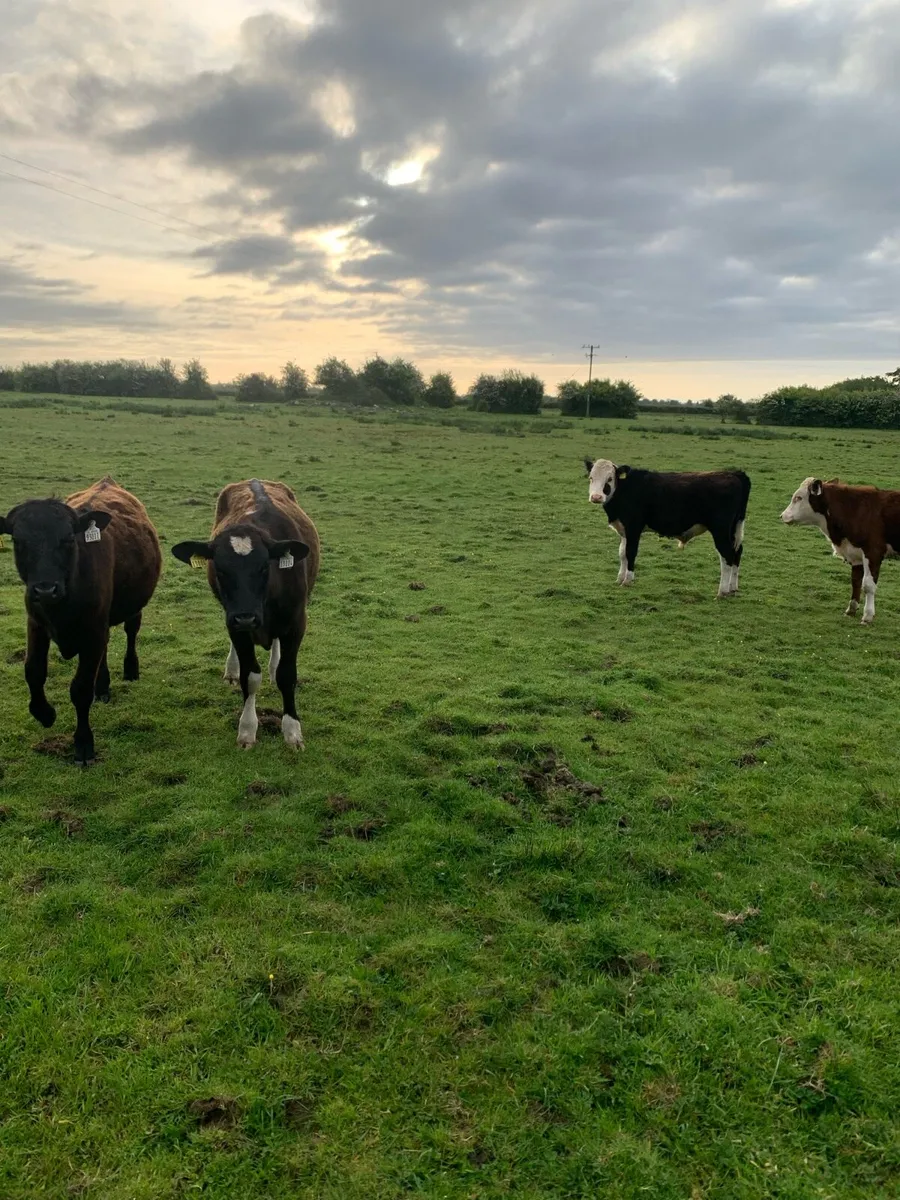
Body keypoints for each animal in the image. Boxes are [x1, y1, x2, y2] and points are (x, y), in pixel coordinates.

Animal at [0, 476, 161, 765]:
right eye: (18, 540)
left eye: (67, 539)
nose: (45, 589)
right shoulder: (36, 623)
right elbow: (33, 671)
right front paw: (44, 713)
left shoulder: (92, 631)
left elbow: (81, 689)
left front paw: (84, 744)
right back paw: (103, 685)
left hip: (131, 608)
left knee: (131, 631)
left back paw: (130, 669)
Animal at [170, 479, 319, 750]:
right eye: (220, 569)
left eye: (264, 567)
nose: (246, 617)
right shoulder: (235, 624)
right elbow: (249, 677)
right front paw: (248, 728)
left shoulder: (296, 623)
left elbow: (287, 675)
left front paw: (292, 731)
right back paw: (231, 670)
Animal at [584, 458, 751, 597]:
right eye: (591, 478)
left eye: (610, 479)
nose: (596, 497)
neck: (626, 489)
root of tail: (733, 474)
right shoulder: (624, 530)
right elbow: (622, 553)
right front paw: (620, 578)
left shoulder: (633, 528)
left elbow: (630, 552)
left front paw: (628, 580)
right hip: (734, 530)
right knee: (737, 552)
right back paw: (732, 588)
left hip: (720, 530)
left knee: (727, 554)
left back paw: (722, 591)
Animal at [780, 477, 900, 625]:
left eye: (798, 497)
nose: (782, 515)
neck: (855, 510)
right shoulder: (856, 554)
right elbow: (856, 581)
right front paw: (851, 609)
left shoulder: (873, 553)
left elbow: (868, 585)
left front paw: (867, 616)